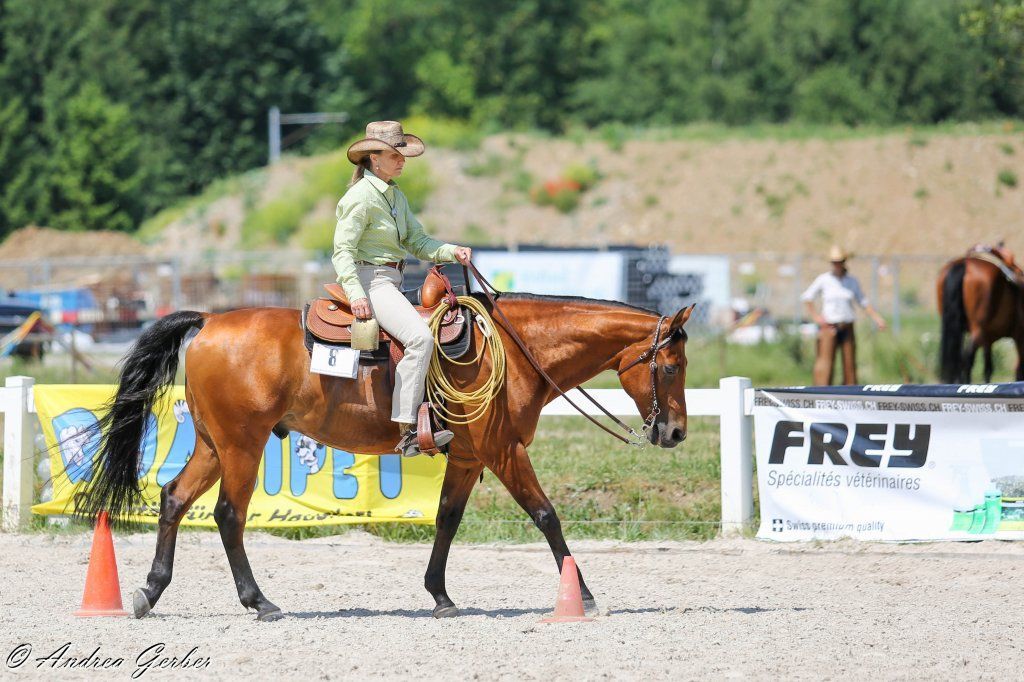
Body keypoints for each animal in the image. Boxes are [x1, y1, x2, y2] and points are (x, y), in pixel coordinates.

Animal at [75, 286, 694, 621]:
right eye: (672, 365)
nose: (675, 433)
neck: (516, 350)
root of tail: (208, 321)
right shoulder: (503, 450)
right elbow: (547, 516)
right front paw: (583, 594)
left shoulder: (468, 457)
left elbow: (446, 520)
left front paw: (439, 595)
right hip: (241, 447)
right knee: (229, 516)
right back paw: (259, 601)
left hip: (212, 445)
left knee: (174, 499)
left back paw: (151, 591)